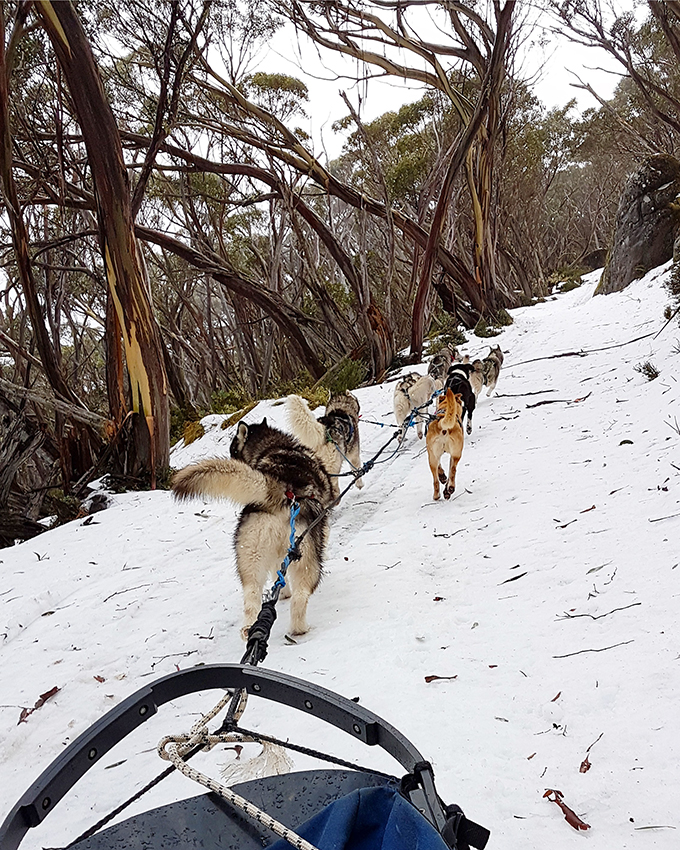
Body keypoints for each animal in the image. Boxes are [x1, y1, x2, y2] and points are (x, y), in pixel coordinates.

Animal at [171, 418, 334, 636]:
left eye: (232, 450)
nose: (232, 457)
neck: (274, 446)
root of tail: (279, 488)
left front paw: (283, 593)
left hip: (251, 558)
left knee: (251, 598)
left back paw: (249, 629)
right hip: (307, 560)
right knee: (300, 597)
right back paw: (300, 629)